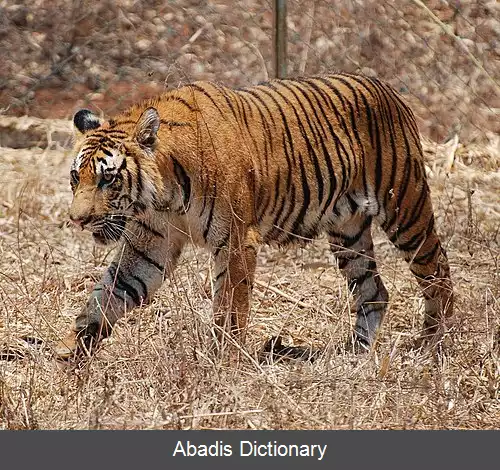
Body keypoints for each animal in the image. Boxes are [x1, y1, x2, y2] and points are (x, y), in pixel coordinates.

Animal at [54, 72, 454, 360]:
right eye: (76, 177)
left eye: (108, 178)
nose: (77, 220)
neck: (163, 195)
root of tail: (388, 89)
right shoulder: (149, 245)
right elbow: (107, 295)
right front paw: (70, 355)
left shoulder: (235, 242)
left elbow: (230, 308)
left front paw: (222, 363)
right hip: (348, 232)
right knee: (373, 290)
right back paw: (352, 354)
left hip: (406, 208)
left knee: (436, 269)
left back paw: (435, 344)